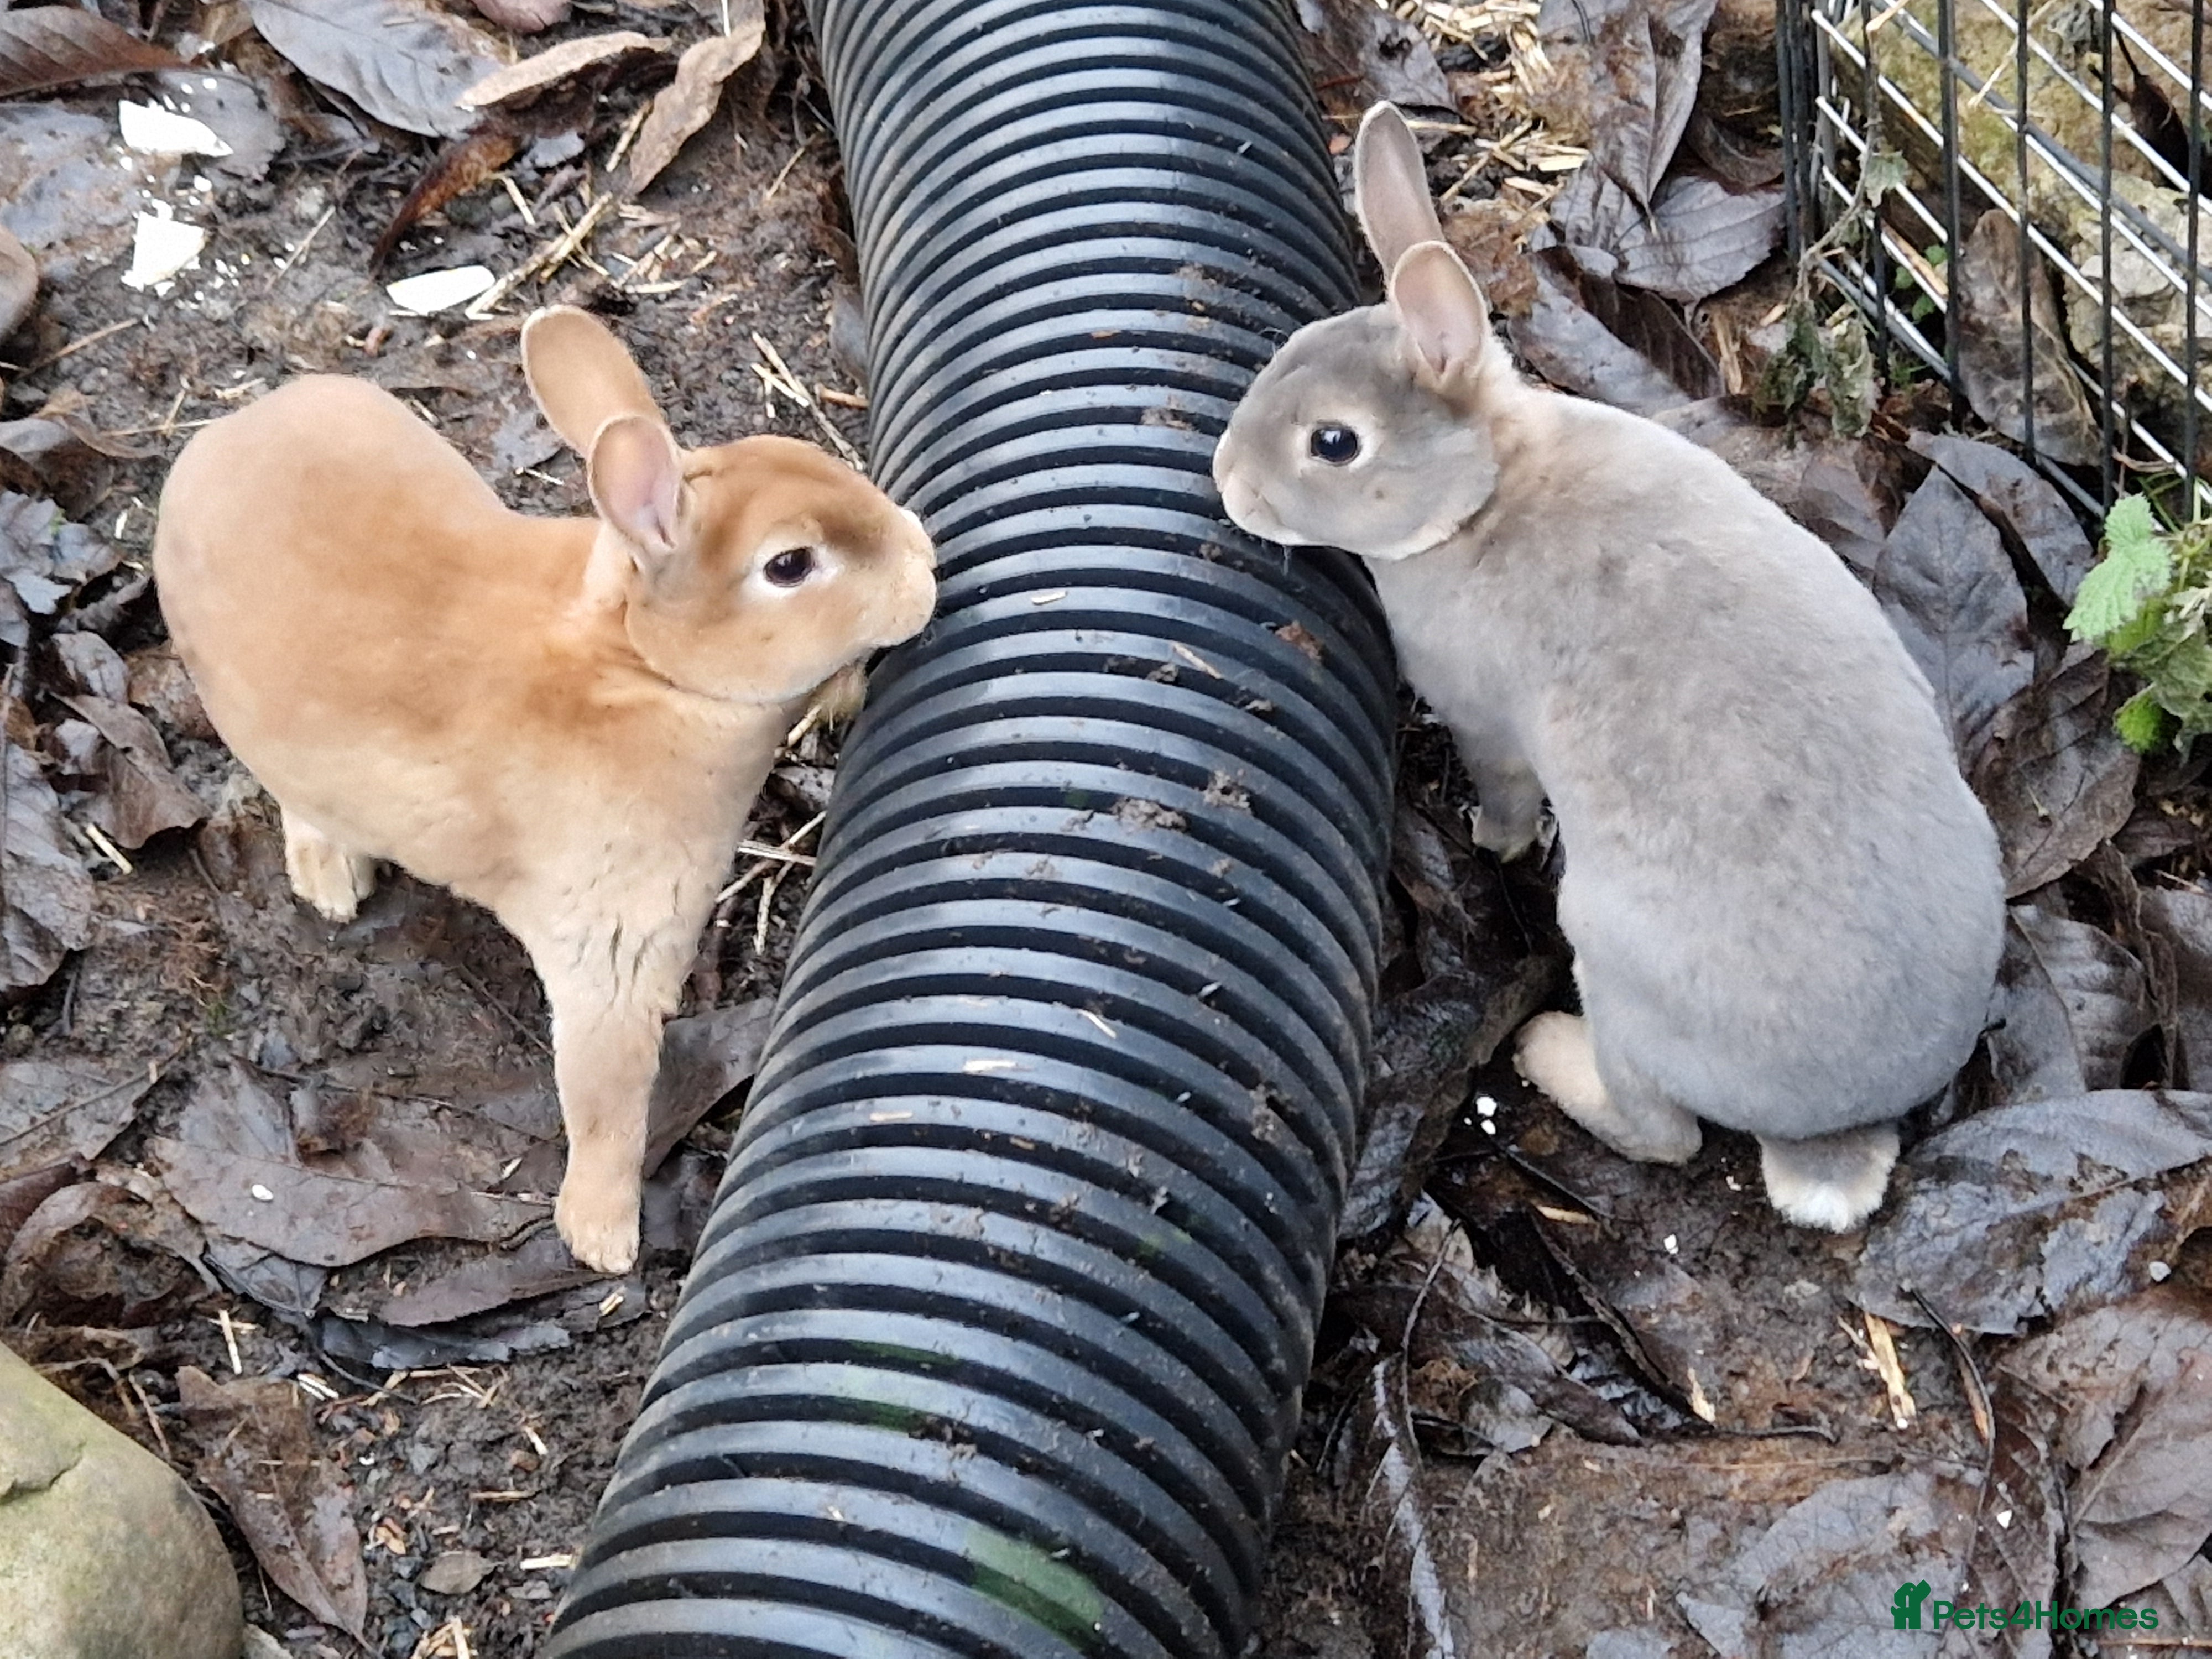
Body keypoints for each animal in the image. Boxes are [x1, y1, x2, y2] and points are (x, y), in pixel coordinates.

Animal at [154, 307, 937, 1273]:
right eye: (790, 565)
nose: (926, 560)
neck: (638, 662)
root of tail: (217, 438)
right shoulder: (613, 954)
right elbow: (606, 1103)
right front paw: (602, 1237)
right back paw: (333, 881)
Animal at [1212, 103, 2004, 1232]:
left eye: (1333, 443)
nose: (1227, 483)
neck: (1486, 490)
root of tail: (1830, 1133)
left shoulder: (1479, 715)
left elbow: (1502, 790)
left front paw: (1490, 843)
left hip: (1610, 958)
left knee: (1664, 1135)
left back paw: (1547, 1052)